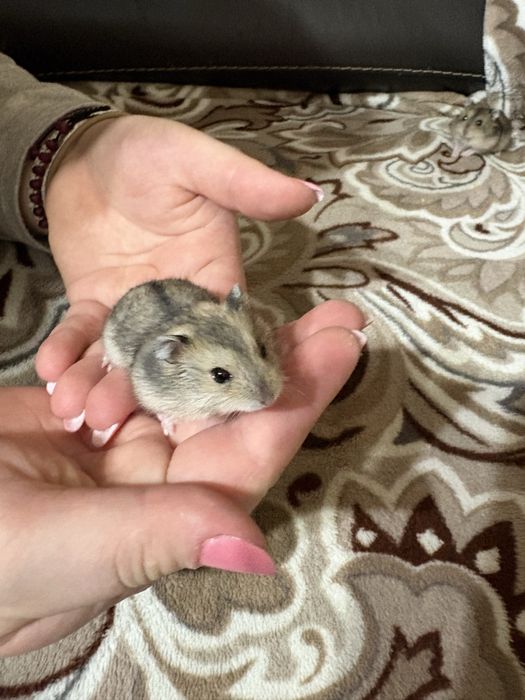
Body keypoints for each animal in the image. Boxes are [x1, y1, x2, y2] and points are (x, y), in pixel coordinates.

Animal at [102, 278, 283, 433]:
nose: (270, 400)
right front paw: (170, 430)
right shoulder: (148, 393)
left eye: (263, 349)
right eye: (220, 375)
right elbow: (161, 412)